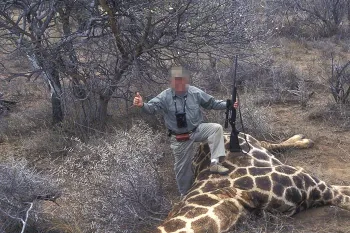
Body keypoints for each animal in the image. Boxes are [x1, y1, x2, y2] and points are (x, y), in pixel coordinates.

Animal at [157, 133, 350, 233]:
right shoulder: (311, 193)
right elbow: (344, 193)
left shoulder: (308, 180)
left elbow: (344, 197)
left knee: (267, 143)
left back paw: (302, 140)